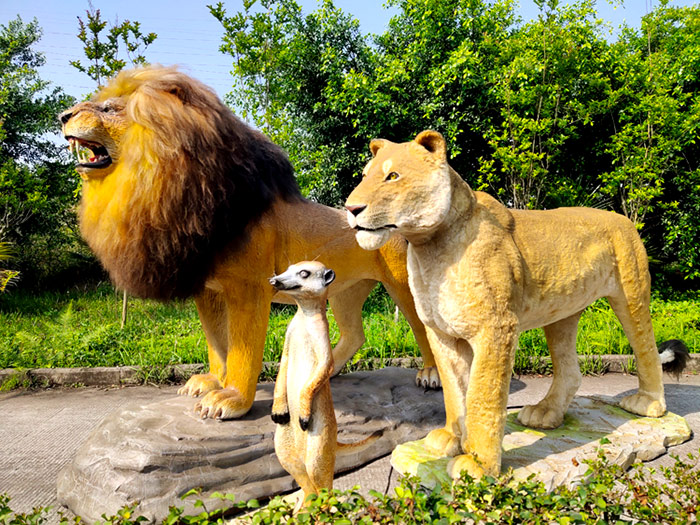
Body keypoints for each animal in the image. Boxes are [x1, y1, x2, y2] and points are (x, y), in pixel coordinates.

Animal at [61, 66, 442, 418]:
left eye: (109, 108)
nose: (64, 115)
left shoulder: (248, 288)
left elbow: (243, 350)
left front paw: (231, 399)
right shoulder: (208, 291)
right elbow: (217, 343)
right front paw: (212, 382)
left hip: (401, 284)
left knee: (424, 328)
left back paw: (431, 374)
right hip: (345, 289)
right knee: (354, 334)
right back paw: (326, 372)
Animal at [344, 130, 688, 478]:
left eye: (392, 176)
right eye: (364, 175)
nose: (351, 208)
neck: (429, 249)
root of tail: (624, 219)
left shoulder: (496, 329)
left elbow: (483, 396)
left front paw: (478, 465)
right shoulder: (441, 334)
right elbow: (454, 392)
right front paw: (452, 439)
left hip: (631, 293)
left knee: (645, 347)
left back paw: (647, 405)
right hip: (562, 313)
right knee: (571, 372)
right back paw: (545, 413)